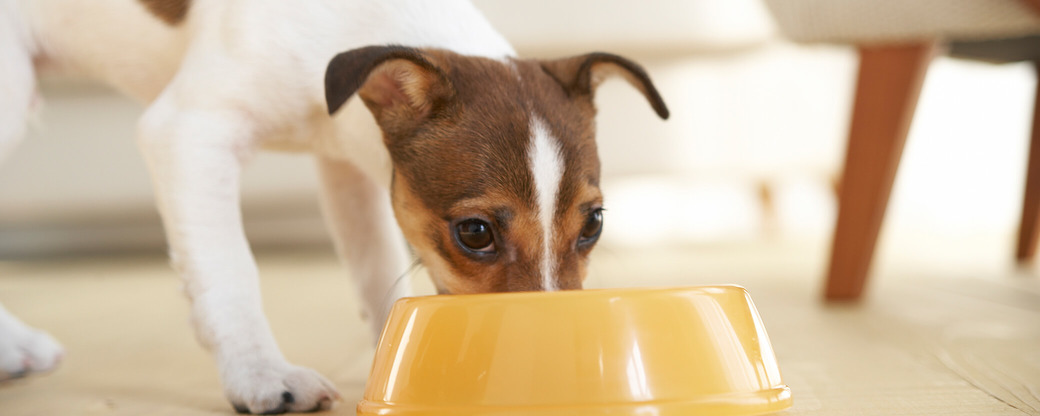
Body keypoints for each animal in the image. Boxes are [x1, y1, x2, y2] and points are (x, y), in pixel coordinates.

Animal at [0, 0, 665, 411]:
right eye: (475, 232)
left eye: (593, 224)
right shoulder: (189, 133)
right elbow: (228, 273)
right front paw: (261, 376)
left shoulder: (348, 170)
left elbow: (376, 272)